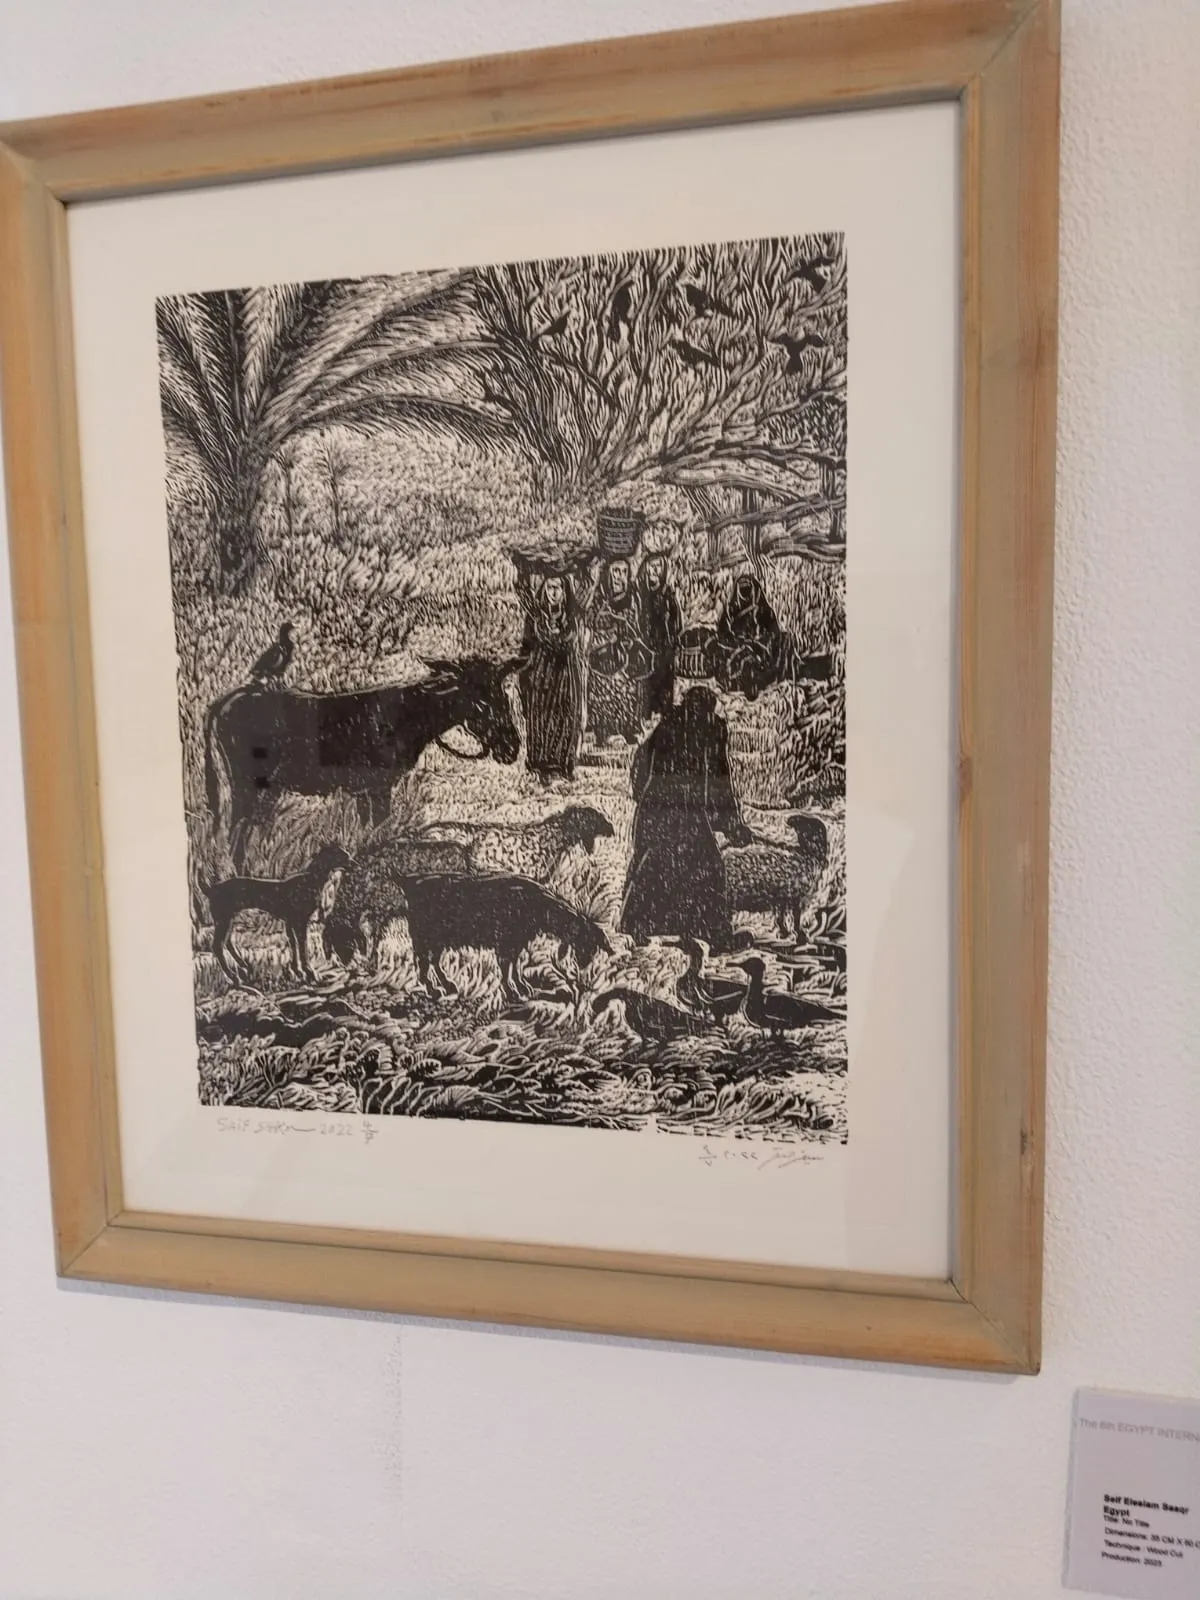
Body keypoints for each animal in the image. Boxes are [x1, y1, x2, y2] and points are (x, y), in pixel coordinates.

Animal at [204, 656, 523, 864]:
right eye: (479, 702)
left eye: (504, 696)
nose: (512, 747)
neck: (408, 718)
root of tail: (225, 702)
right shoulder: (380, 787)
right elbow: (378, 834)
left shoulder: (363, 791)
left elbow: (365, 836)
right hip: (246, 785)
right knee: (232, 837)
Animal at [722, 812, 828, 941]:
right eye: (805, 826)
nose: (791, 820)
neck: (807, 854)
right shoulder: (795, 897)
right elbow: (795, 917)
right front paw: (800, 935)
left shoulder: (781, 898)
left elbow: (780, 916)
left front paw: (784, 933)